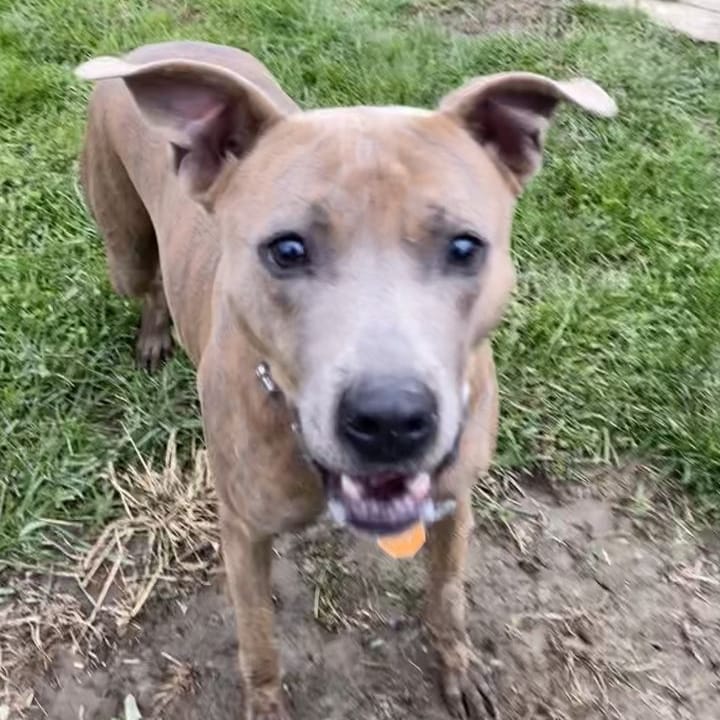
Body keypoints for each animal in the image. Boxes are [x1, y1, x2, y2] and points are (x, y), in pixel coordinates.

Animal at [74, 43, 612, 720]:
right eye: (286, 251)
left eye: (465, 247)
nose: (391, 419)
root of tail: (151, 49)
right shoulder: (243, 533)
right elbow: (258, 641)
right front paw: (266, 703)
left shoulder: (454, 503)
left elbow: (447, 593)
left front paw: (457, 666)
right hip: (124, 244)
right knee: (146, 283)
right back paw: (152, 333)